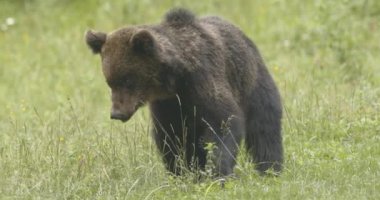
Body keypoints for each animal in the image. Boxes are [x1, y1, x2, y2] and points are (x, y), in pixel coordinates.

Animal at [85, 7, 282, 177]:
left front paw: (217, 173)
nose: (116, 113)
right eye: (110, 82)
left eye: (128, 80)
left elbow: (223, 123)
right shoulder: (168, 105)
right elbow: (171, 139)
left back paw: (270, 169)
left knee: (265, 128)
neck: (175, 81)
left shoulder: (204, 83)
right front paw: (181, 173)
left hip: (252, 84)